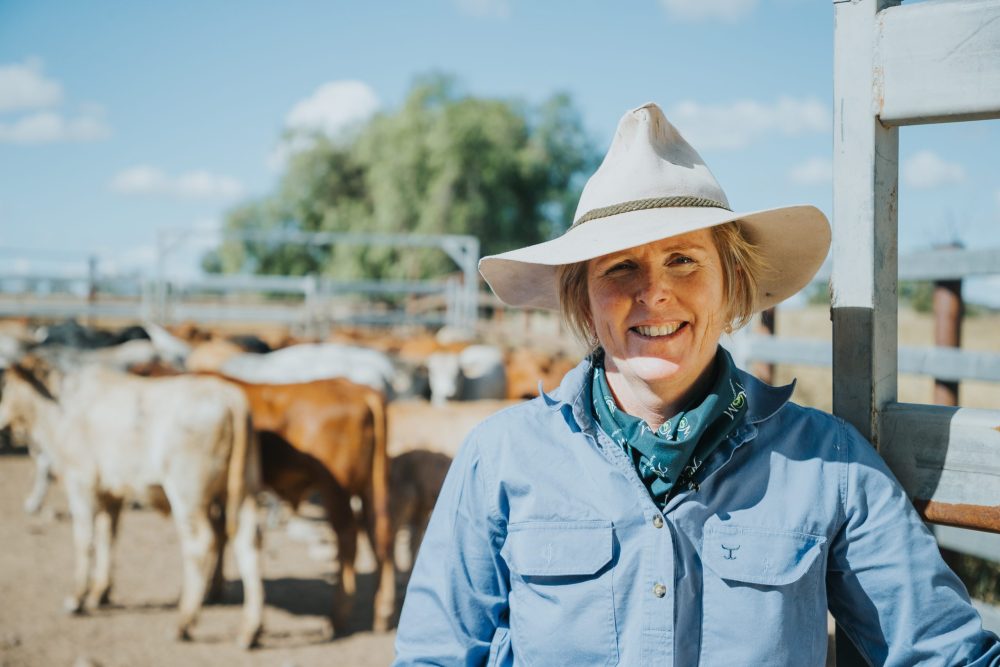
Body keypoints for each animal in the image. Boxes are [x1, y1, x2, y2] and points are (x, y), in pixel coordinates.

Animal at [0, 362, 266, 648]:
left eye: (6, 386)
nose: (3, 426)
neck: (56, 406)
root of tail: (230, 397)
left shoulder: (81, 481)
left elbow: (84, 540)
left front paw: (76, 598)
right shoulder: (111, 492)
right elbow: (107, 537)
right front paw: (100, 592)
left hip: (187, 493)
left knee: (200, 544)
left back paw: (183, 622)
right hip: (243, 489)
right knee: (248, 542)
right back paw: (250, 629)